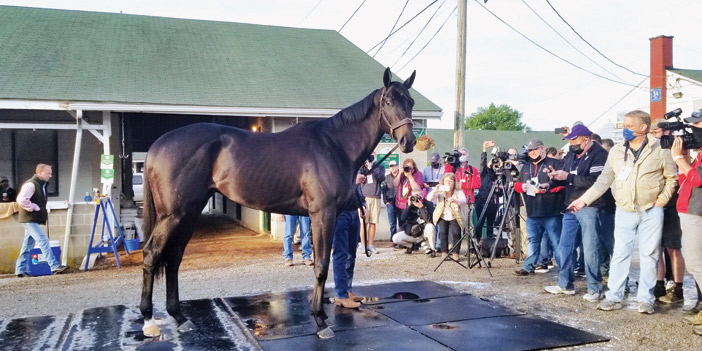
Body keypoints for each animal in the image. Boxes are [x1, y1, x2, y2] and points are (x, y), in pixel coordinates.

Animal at [141, 67, 420, 340]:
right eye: (388, 101)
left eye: (410, 101)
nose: (408, 141)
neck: (334, 145)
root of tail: (158, 145)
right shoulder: (323, 214)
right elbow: (322, 266)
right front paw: (320, 322)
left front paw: (321, 315)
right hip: (173, 215)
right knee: (151, 254)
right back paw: (149, 321)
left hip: (189, 212)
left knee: (174, 258)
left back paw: (180, 318)